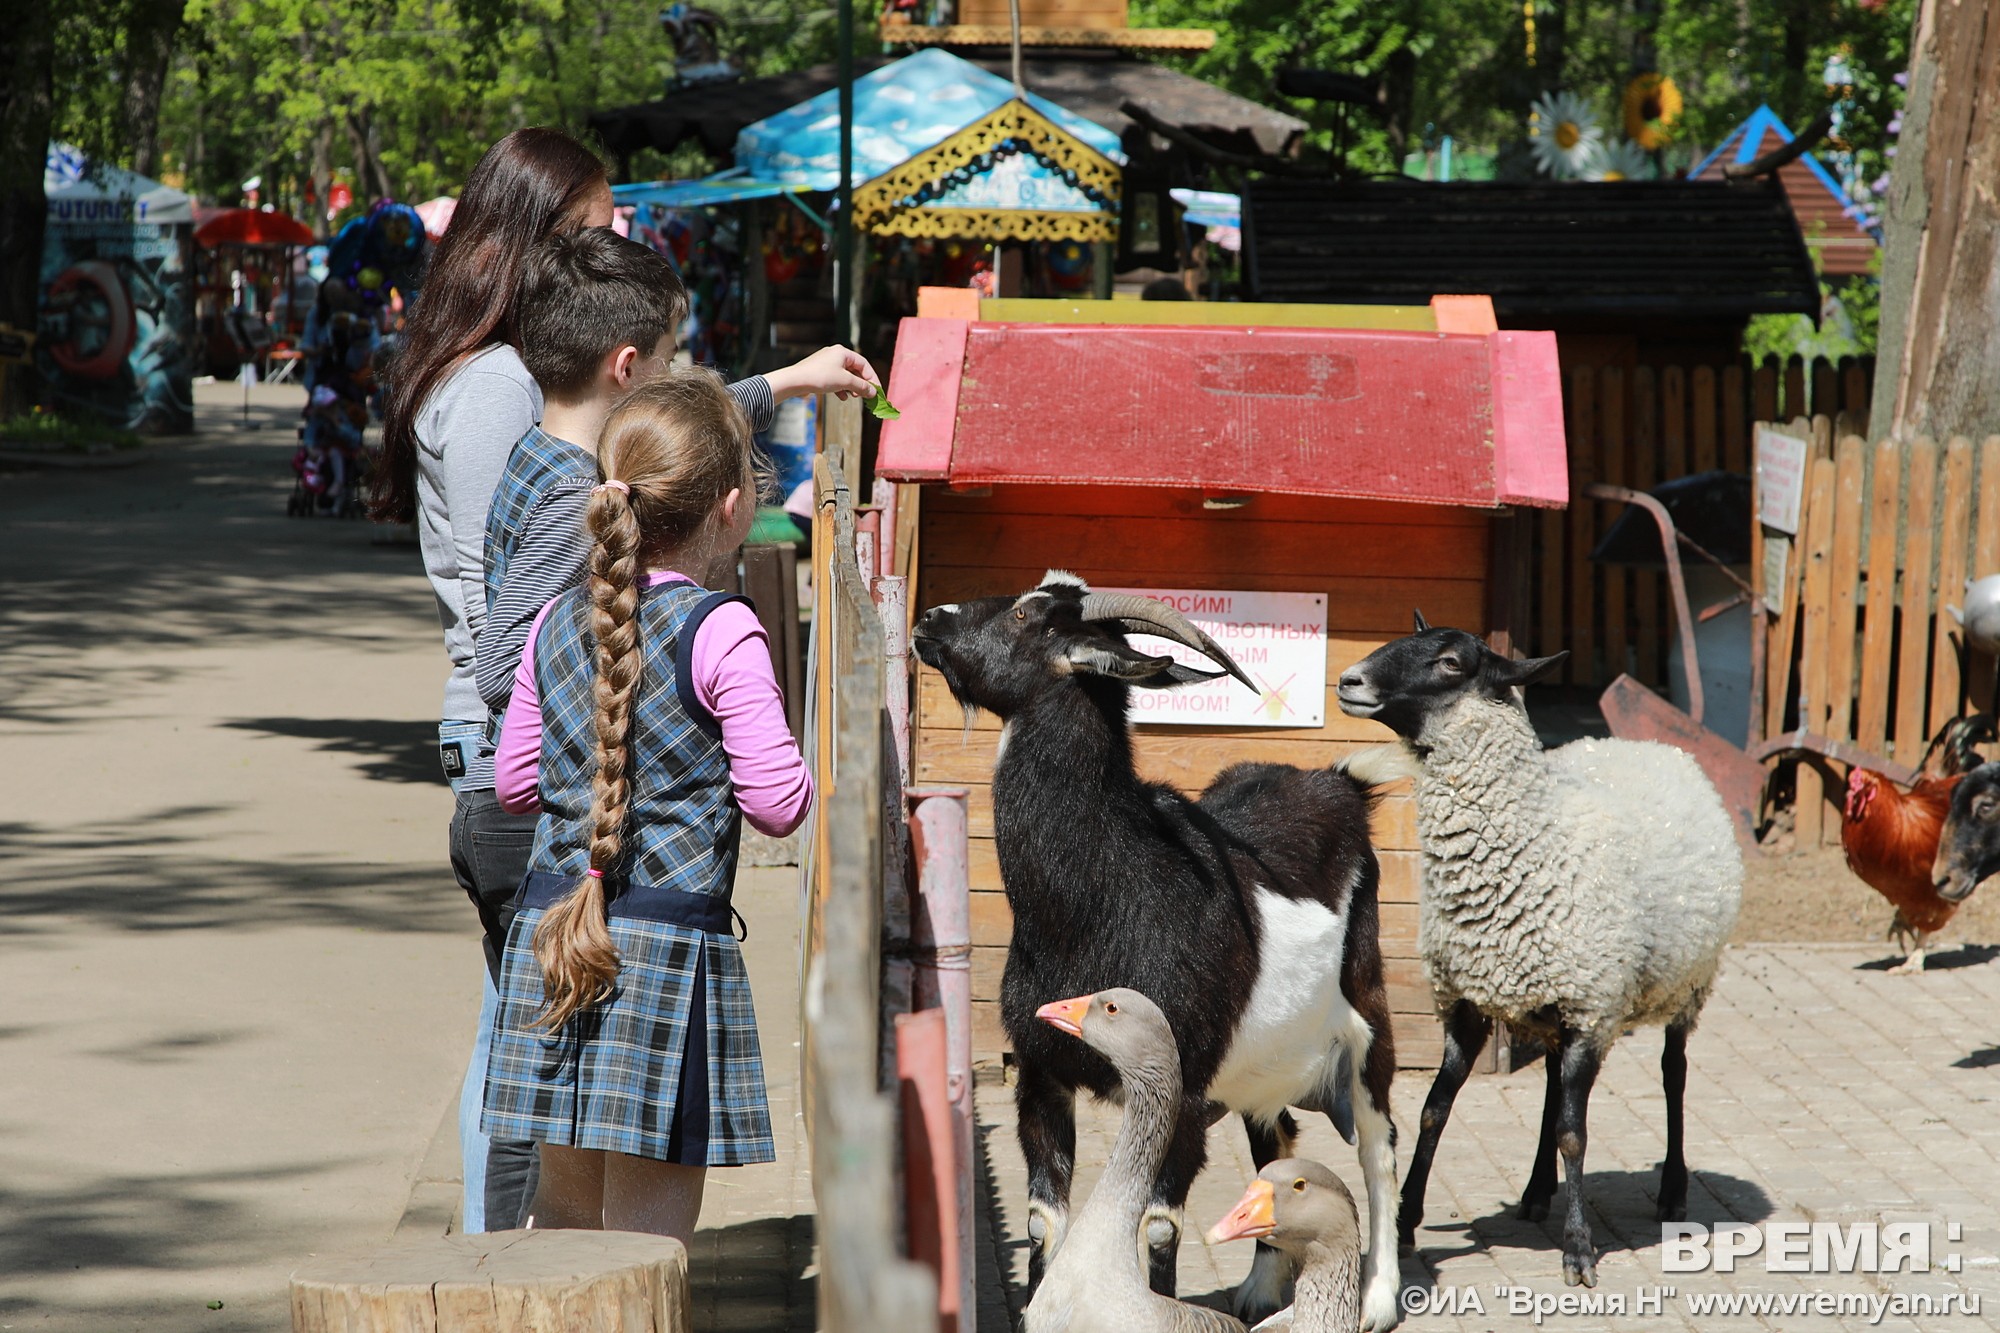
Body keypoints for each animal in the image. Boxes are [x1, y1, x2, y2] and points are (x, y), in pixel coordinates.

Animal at [912, 572, 1400, 1328]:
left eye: (1025, 615)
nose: (929, 619)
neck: (1100, 900)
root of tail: (1339, 783)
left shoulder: (1185, 1088)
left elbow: (1159, 1226)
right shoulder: (1040, 1076)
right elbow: (1042, 1223)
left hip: (1368, 1014)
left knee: (1379, 1147)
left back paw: (1376, 1299)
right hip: (1258, 1063)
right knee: (1277, 1135)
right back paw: (1261, 1289)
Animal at [1336, 612, 1744, 1288]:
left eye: (1451, 662)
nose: (1348, 680)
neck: (1532, 839)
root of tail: (1649, 746)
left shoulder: (1591, 1009)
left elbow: (1575, 1134)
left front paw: (1578, 1251)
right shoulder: (1467, 1004)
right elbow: (1433, 1110)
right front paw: (1405, 1221)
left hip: (1687, 983)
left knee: (1672, 1074)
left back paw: (1672, 1189)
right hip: (1553, 1004)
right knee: (1553, 1084)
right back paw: (1534, 1193)